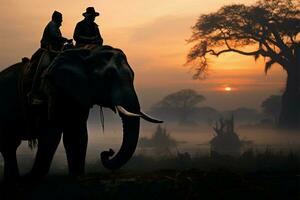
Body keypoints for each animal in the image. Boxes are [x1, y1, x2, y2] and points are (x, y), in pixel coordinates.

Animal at [0, 45, 162, 183]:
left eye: (133, 75)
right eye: (109, 76)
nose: (108, 151)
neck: (86, 52)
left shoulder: (78, 94)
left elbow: (77, 135)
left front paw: (76, 177)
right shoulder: (52, 92)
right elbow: (51, 135)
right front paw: (30, 178)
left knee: (9, 146)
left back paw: (13, 180)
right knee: (9, 145)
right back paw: (16, 180)